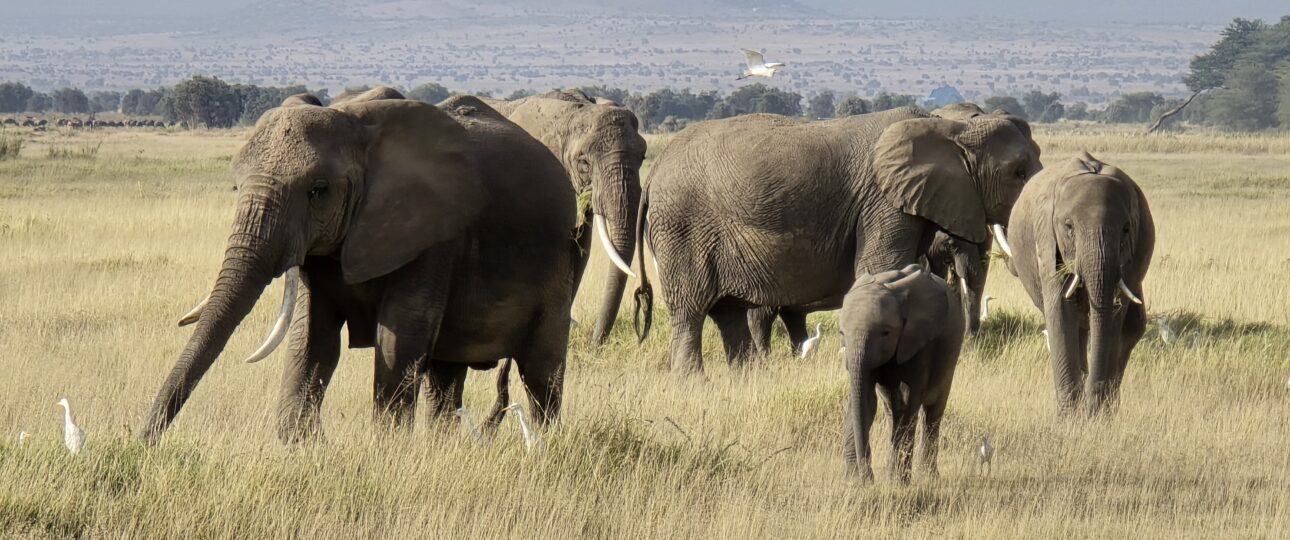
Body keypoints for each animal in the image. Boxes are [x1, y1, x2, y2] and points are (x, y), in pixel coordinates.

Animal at [138, 87, 578, 443]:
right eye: (235, 187)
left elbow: (398, 339)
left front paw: (386, 450)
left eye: (318, 191)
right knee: (445, 376)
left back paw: (547, 443)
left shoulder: (434, 235)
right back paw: (446, 445)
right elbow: (311, 337)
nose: (141, 441)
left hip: (563, 263)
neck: (358, 125)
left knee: (541, 372)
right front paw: (303, 447)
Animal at [634, 106, 1040, 374]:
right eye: (1019, 173)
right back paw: (693, 380)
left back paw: (746, 376)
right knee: (691, 310)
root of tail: (653, 175)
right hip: (682, 228)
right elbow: (881, 268)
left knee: (727, 313)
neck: (950, 128)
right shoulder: (881, 201)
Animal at [840, 265, 964, 484]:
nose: (866, 477)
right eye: (842, 334)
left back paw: (927, 478)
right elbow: (866, 400)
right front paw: (855, 482)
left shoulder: (920, 342)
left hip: (950, 358)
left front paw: (896, 483)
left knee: (932, 412)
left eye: (886, 333)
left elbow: (908, 398)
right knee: (892, 410)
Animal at [1003, 152, 1154, 415]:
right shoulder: (1047, 241)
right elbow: (1060, 312)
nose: (1092, 408)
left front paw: (1097, 414)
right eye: (1068, 227)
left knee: (1132, 327)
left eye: (1126, 229)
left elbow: (1114, 319)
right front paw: (1071, 417)